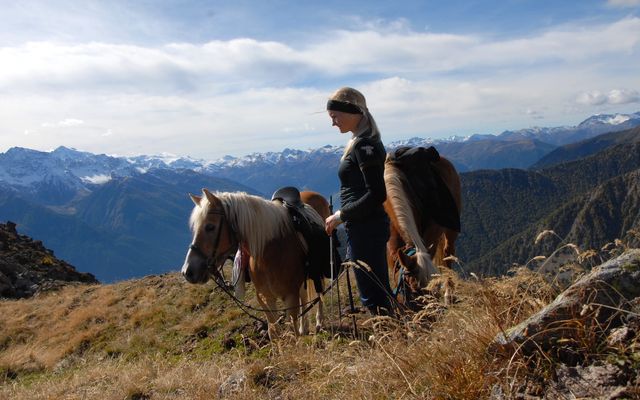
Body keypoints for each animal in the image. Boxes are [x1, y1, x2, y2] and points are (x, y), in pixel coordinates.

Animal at [181, 189, 326, 339]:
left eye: (210, 227)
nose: (187, 272)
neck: (270, 254)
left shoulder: (290, 297)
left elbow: (294, 332)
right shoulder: (264, 297)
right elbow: (273, 332)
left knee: (319, 292)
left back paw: (319, 322)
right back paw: (305, 327)